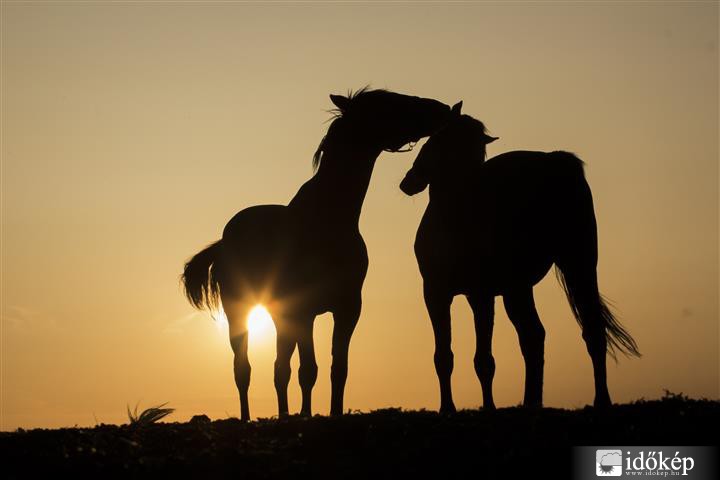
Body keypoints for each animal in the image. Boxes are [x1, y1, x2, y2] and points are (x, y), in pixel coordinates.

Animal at [180, 88, 456, 418]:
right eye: (388, 103)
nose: (442, 109)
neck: (327, 220)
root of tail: (224, 241)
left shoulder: (348, 308)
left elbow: (337, 368)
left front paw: (330, 412)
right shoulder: (304, 311)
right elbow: (308, 370)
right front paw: (305, 415)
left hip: (279, 315)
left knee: (279, 367)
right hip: (240, 310)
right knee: (243, 368)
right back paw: (249, 418)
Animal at [400, 113, 640, 412]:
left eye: (434, 138)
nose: (409, 181)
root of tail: (556, 162)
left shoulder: (472, 294)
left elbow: (479, 359)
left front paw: (478, 408)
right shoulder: (445, 294)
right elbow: (447, 356)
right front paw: (456, 408)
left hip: (562, 272)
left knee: (570, 331)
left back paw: (592, 401)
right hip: (539, 280)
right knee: (541, 335)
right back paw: (540, 403)